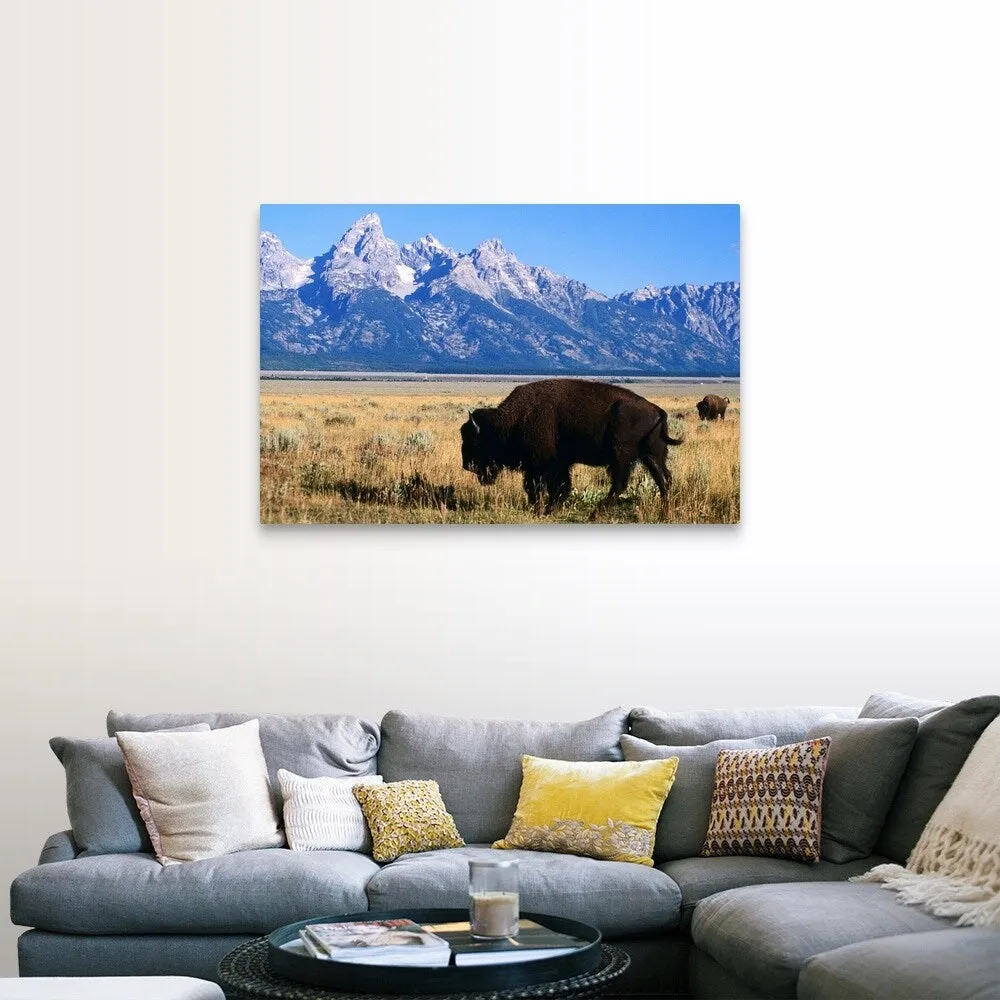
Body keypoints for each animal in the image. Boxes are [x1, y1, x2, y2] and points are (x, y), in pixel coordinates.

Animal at [458, 376, 680, 516]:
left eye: (475, 441)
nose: (466, 465)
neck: (511, 421)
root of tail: (657, 410)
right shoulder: (560, 463)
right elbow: (561, 486)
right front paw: (549, 509)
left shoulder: (541, 465)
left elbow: (537, 487)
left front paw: (541, 509)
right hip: (652, 455)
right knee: (664, 479)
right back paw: (665, 510)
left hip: (621, 456)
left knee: (620, 484)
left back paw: (595, 514)